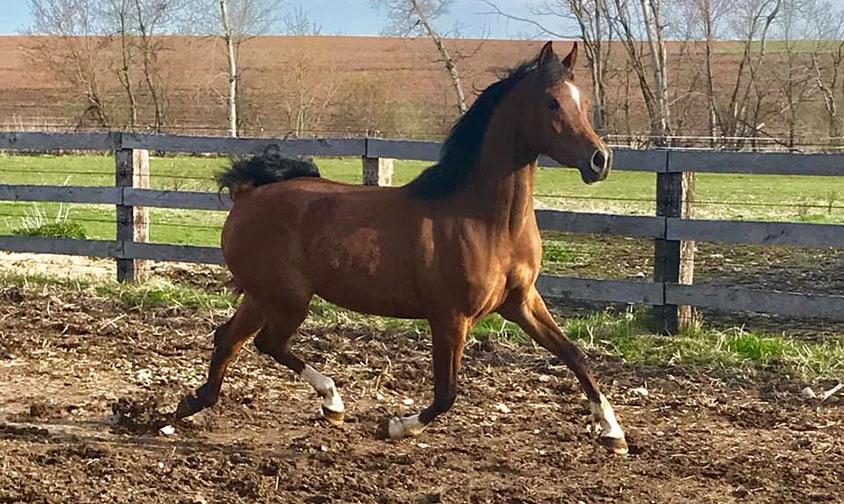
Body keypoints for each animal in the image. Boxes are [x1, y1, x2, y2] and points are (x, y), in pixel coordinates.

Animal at [175, 41, 628, 455]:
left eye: (583, 101)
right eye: (552, 103)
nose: (600, 160)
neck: (485, 221)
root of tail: (248, 194)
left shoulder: (521, 302)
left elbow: (575, 355)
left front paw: (613, 432)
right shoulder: (450, 317)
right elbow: (446, 394)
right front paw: (395, 427)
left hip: (262, 296)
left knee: (230, 339)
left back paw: (192, 404)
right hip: (287, 300)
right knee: (266, 343)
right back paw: (332, 402)